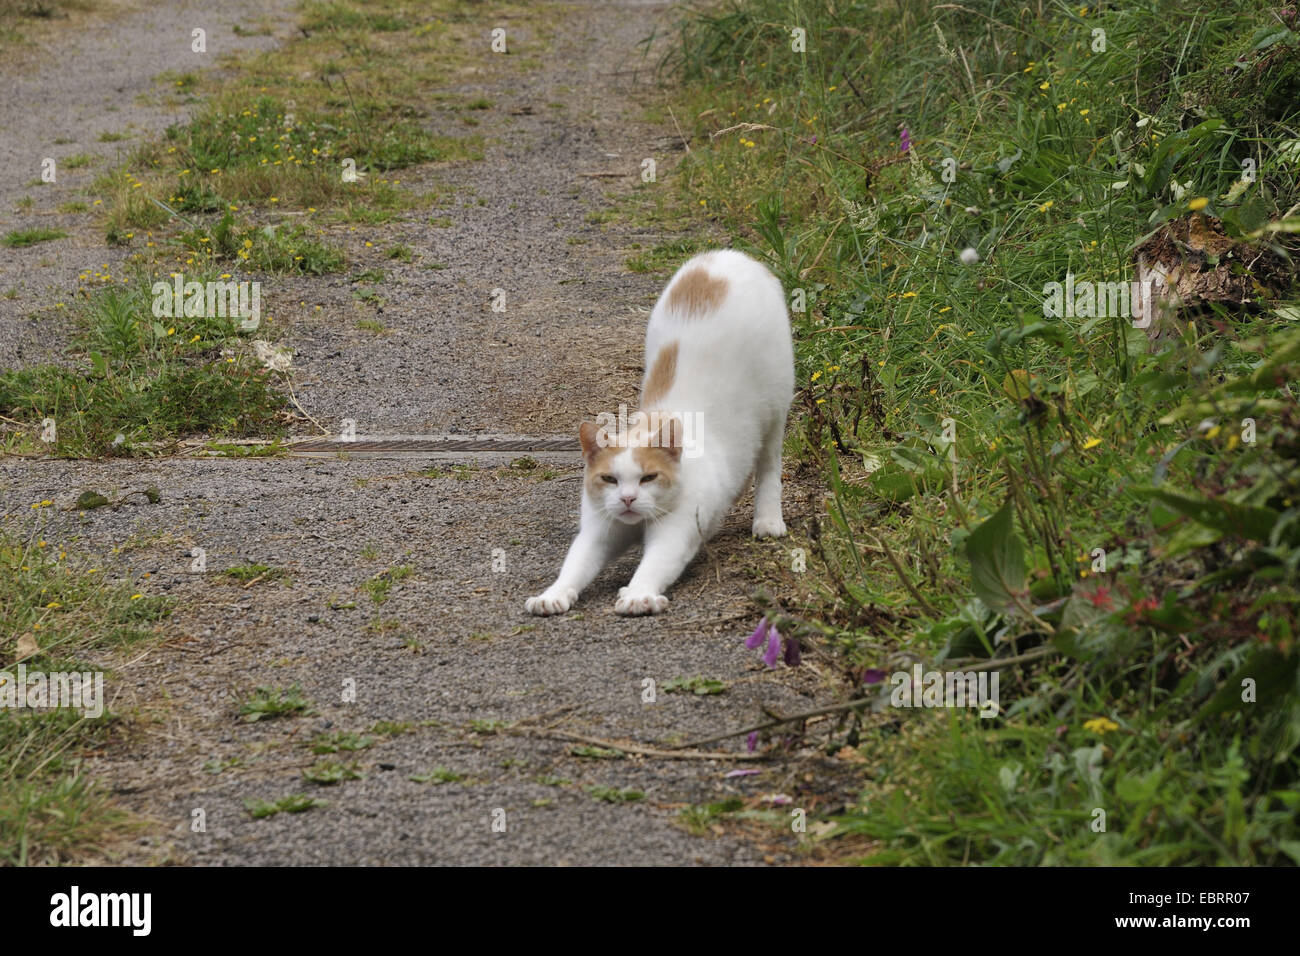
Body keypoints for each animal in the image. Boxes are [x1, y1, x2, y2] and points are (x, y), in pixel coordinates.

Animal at [525, 248, 790, 621]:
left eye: (649, 477)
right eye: (609, 479)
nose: (627, 499)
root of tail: (725, 255)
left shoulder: (676, 531)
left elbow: (655, 564)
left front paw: (638, 594)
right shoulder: (598, 531)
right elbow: (575, 564)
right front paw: (554, 594)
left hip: (776, 403)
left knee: (769, 464)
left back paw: (767, 520)